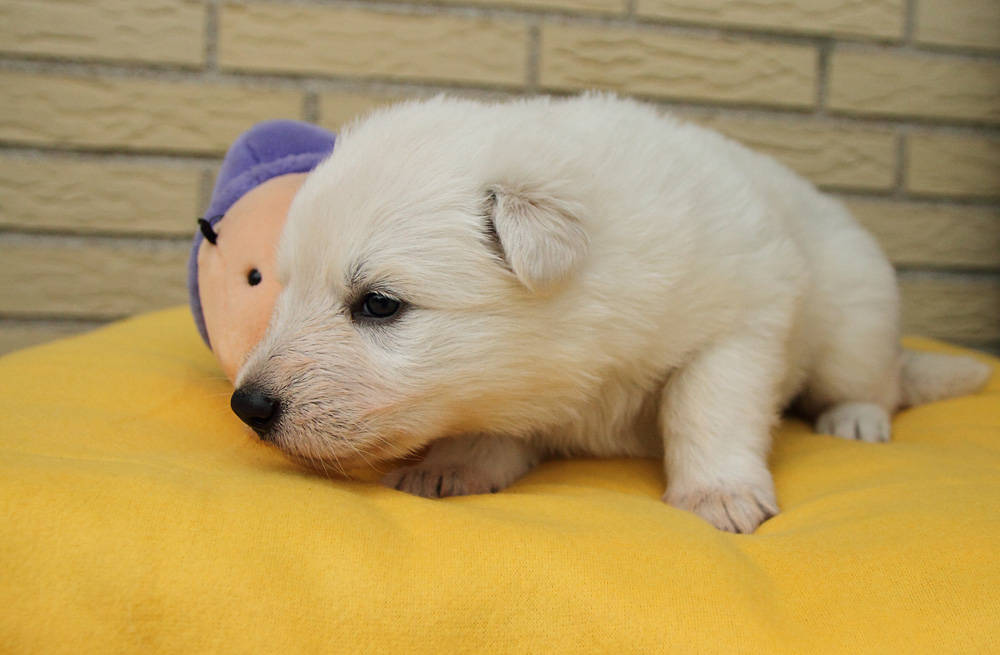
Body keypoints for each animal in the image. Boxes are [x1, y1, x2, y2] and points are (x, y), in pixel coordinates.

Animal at [230, 94, 991, 533]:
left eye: (379, 304)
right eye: (282, 288)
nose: (247, 405)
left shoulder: (742, 321)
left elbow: (704, 406)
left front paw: (718, 495)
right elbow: (491, 428)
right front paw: (453, 463)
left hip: (854, 322)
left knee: (876, 381)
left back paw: (855, 418)